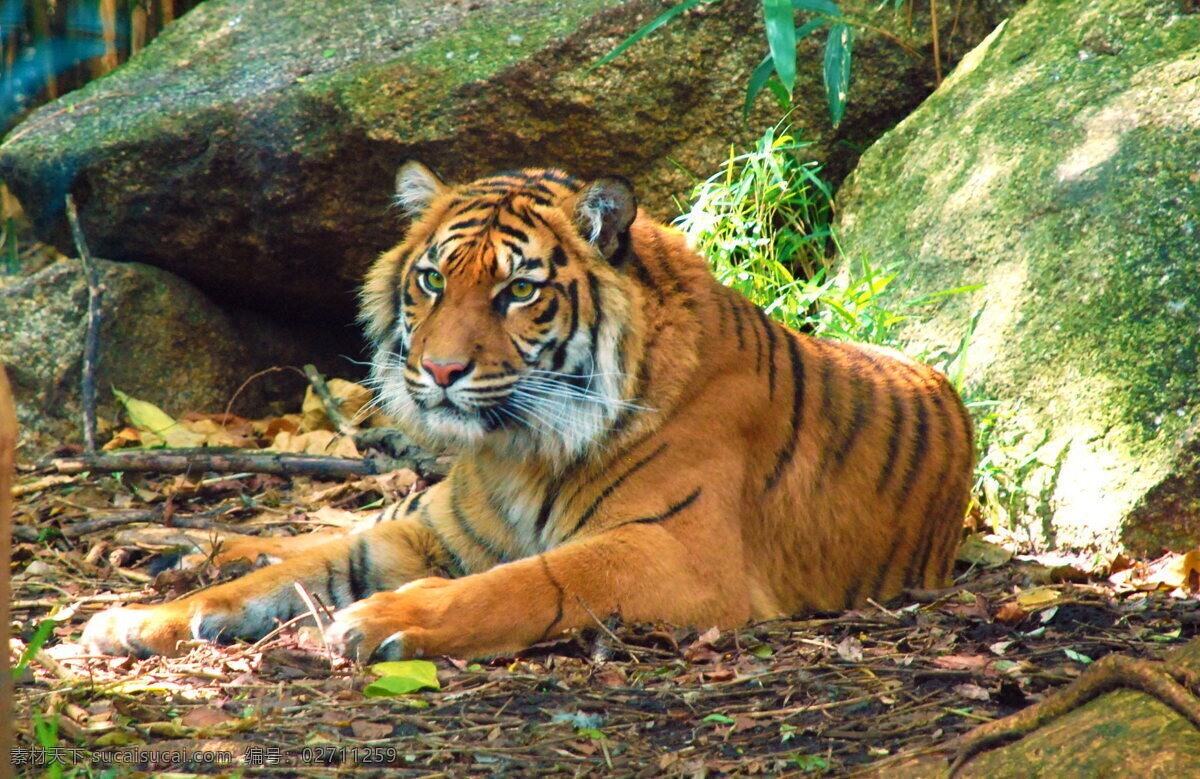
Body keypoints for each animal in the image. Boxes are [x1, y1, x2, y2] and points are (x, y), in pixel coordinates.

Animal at [82, 160, 974, 657]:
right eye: (432, 280)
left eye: (517, 291)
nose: (439, 369)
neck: (518, 447)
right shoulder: (433, 531)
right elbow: (298, 568)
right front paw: (135, 621)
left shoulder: (676, 552)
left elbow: (527, 580)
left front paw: (383, 619)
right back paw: (181, 548)